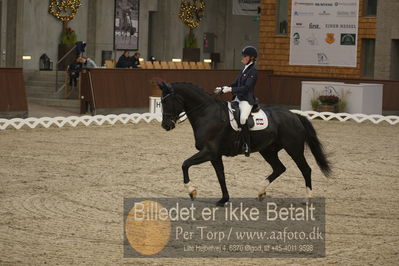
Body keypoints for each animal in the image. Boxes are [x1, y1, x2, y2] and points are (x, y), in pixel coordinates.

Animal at [159, 82, 332, 207]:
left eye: (167, 101)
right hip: (268, 151)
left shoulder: (208, 151)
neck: (206, 113)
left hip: (294, 149)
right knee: (279, 168)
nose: (165, 126)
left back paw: (307, 199)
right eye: (160, 102)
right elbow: (221, 176)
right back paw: (261, 191)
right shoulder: (215, 155)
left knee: (306, 170)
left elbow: (185, 164)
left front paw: (192, 191)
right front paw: (224, 199)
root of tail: (295, 116)